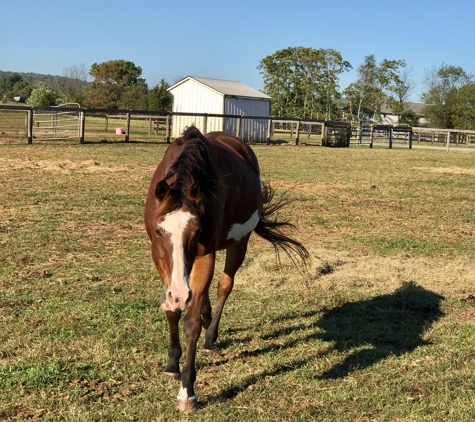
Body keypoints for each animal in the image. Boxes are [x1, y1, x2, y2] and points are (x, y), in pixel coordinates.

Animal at [145, 127, 308, 410]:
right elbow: (172, 310)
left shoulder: (205, 253)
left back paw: (210, 336)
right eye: (158, 231)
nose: (179, 294)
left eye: (196, 231)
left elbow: (191, 322)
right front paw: (171, 366)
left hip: (239, 243)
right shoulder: (162, 260)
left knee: (223, 286)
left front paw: (187, 391)